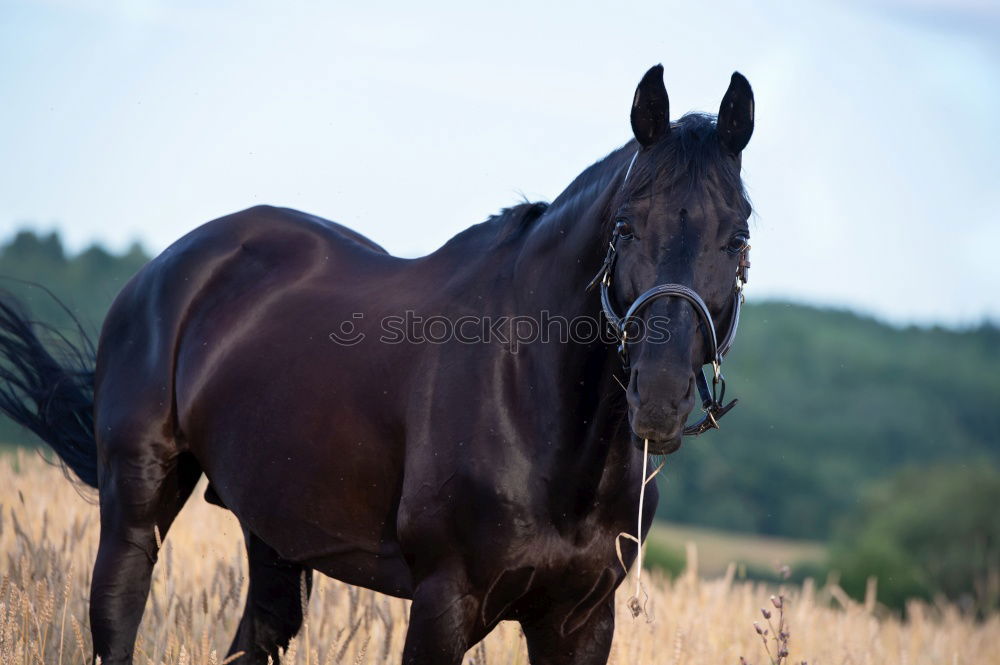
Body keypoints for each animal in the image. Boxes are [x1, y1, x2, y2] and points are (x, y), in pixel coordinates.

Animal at [0, 63, 752, 664]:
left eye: (739, 237)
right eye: (626, 227)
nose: (659, 399)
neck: (537, 408)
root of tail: (168, 266)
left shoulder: (580, 621)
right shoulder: (444, 600)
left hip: (273, 529)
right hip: (137, 502)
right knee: (118, 611)